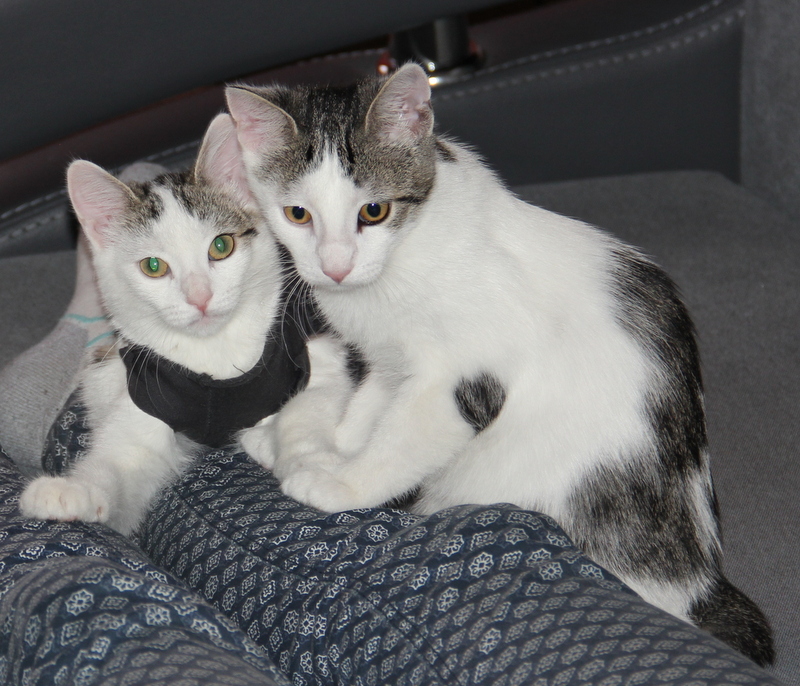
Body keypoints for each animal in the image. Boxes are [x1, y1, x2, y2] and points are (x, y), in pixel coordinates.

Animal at [19, 113, 308, 536]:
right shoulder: (144, 395)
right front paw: (71, 492)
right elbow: (122, 461)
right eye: (153, 266)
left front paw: (277, 442)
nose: (200, 296)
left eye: (221, 246)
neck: (213, 353)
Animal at [228, 64, 774, 666]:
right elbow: (370, 409)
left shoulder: (465, 372)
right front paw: (319, 445)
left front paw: (341, 484)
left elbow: (402, 438)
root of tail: (696, 583)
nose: (336, 267)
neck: (402, 255)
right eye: (297, 214)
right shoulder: (390, 363)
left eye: (374, 211)